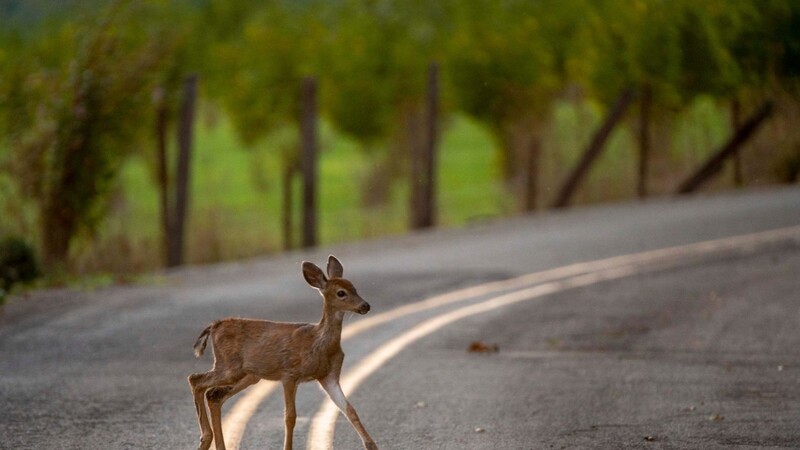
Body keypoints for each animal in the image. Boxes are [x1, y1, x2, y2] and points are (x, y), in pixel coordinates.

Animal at [191, 256, 382, 450]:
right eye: (341, 293)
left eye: (354, 288)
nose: (365, 306)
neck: (319, 343)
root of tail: (215, 326)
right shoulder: (289, 374)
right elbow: (290, 417)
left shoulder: (328, 376)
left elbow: (349, 409)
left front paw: (372, 445)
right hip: (230, 367)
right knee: (196, 380)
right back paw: (205, 438)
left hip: (249, 375)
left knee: (214, 395)